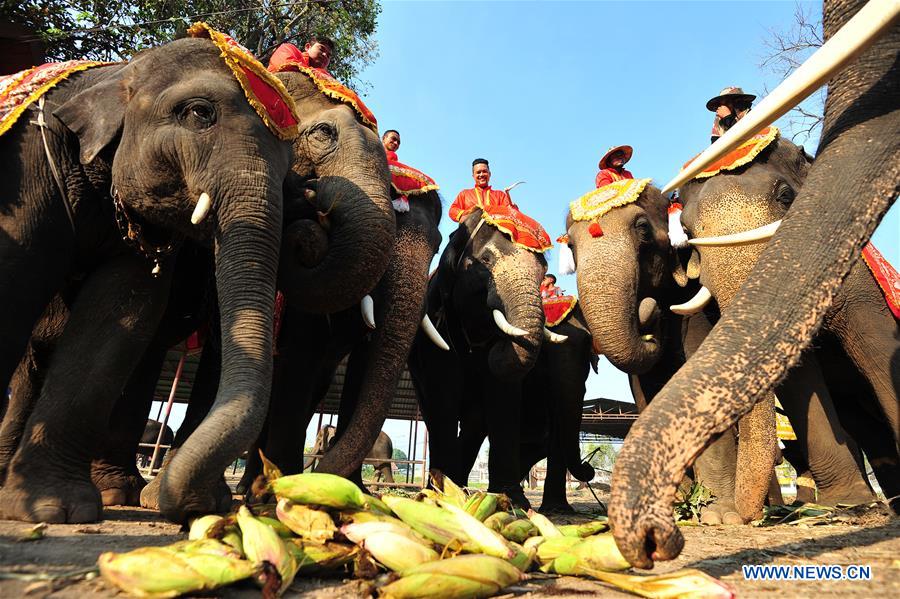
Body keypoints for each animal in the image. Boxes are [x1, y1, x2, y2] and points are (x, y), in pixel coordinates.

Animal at [0, 36, 296, 524]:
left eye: (291, 166)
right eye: (199, 113)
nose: (190, 508)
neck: (122, 71)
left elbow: (123, 313)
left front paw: (54, 507)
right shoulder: (26, 162)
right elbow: (15, 271)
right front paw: (53, 510)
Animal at [408, 207, 549, 507]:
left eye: (543, 272)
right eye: (486, 260)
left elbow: (503, 396)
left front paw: (513, 500)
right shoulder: (438, 323)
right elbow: (444, 391)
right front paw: (443, 494)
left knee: (475, 424)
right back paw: (442, 486)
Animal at [609, 0, 899, 568]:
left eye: (787, 196)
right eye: (688, 228)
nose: (665, 535)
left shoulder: (858, 279)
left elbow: (877, 345)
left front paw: (846, 508)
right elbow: (798, 377)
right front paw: (848, 508)